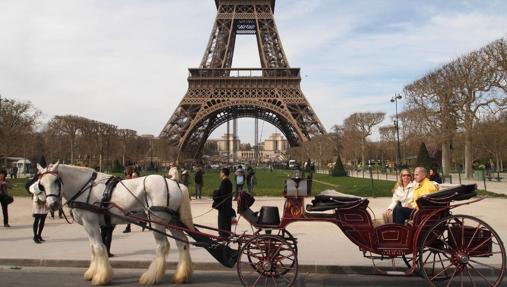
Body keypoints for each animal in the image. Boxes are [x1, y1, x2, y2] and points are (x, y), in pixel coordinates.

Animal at [36, 163, 195, 286]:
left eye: (56, 181)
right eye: (41, 185)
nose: (52, 204)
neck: (84, 188)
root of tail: (177, 184)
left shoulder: (91, 223)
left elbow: (99, 248)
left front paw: (101, 277)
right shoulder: (88, 226)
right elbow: (93, 248)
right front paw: (92, 272)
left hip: (158, 222)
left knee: (163, 246)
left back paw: (150, 277)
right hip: (172, 221)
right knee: (182, 243)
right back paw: (181, 276)